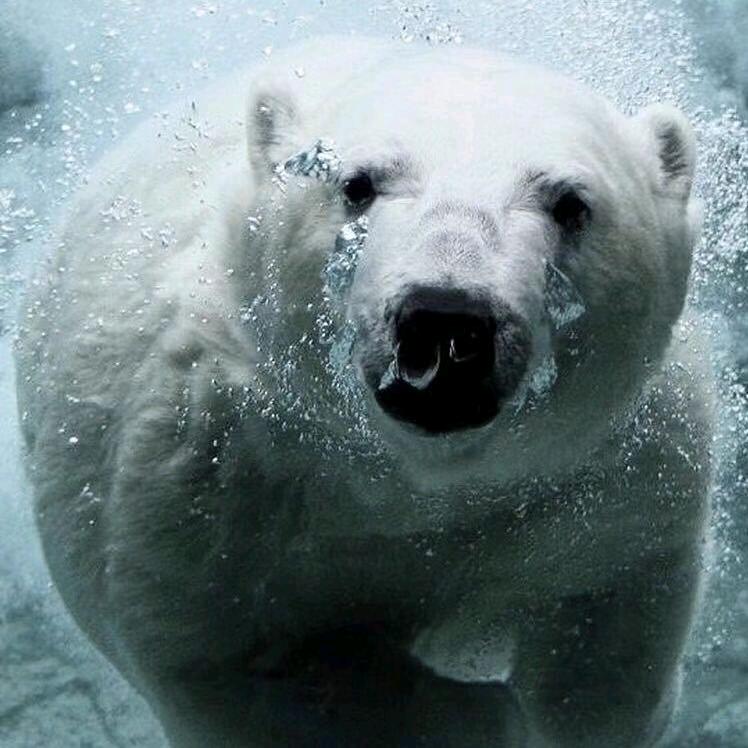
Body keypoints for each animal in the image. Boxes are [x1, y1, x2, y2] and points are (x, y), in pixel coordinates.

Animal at [15, 36, 712, 747]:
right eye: (356, 183)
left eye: (570, 203)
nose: (446, 320)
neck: (409, 480)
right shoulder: (210, 474)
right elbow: (240, 663)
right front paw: (477, 716)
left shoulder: (607, 475)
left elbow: (609, 621)